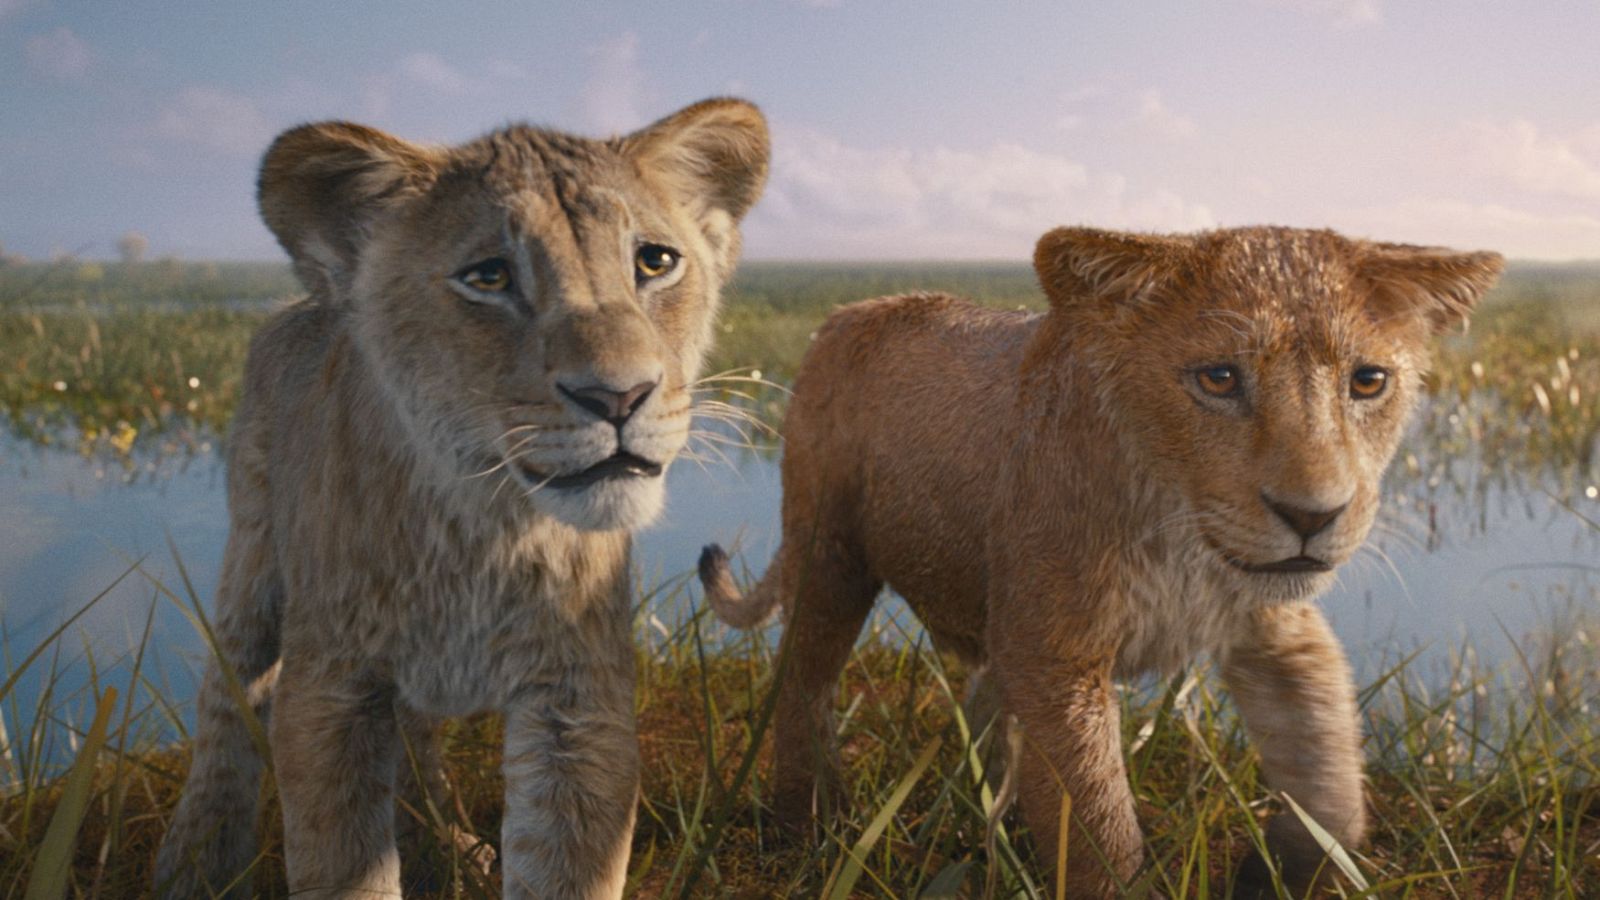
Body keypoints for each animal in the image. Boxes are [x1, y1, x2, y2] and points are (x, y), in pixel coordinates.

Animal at [152, 99, 768, 899]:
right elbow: (341, 863)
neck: (484, 527)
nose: (619, 397)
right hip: (252, 555)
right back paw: (194, 861)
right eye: (490, 276)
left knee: (414, 736)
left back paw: (442, 844)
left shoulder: (576, 702)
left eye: (654, 261)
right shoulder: (330, 692)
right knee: (228, 698)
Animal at [698, 226, 1502, 896]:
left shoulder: (1276, 631)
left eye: (1368, 382)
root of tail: (848, 311)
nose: (1313, 517)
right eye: (1218, 379)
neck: (1182, 536)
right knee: (804, 683)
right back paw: (808, 826)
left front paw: (1290, 868)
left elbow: (1330, 773)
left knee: (986, 708)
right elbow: (1100, 827)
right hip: (830, 555)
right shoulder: (1057, 656)